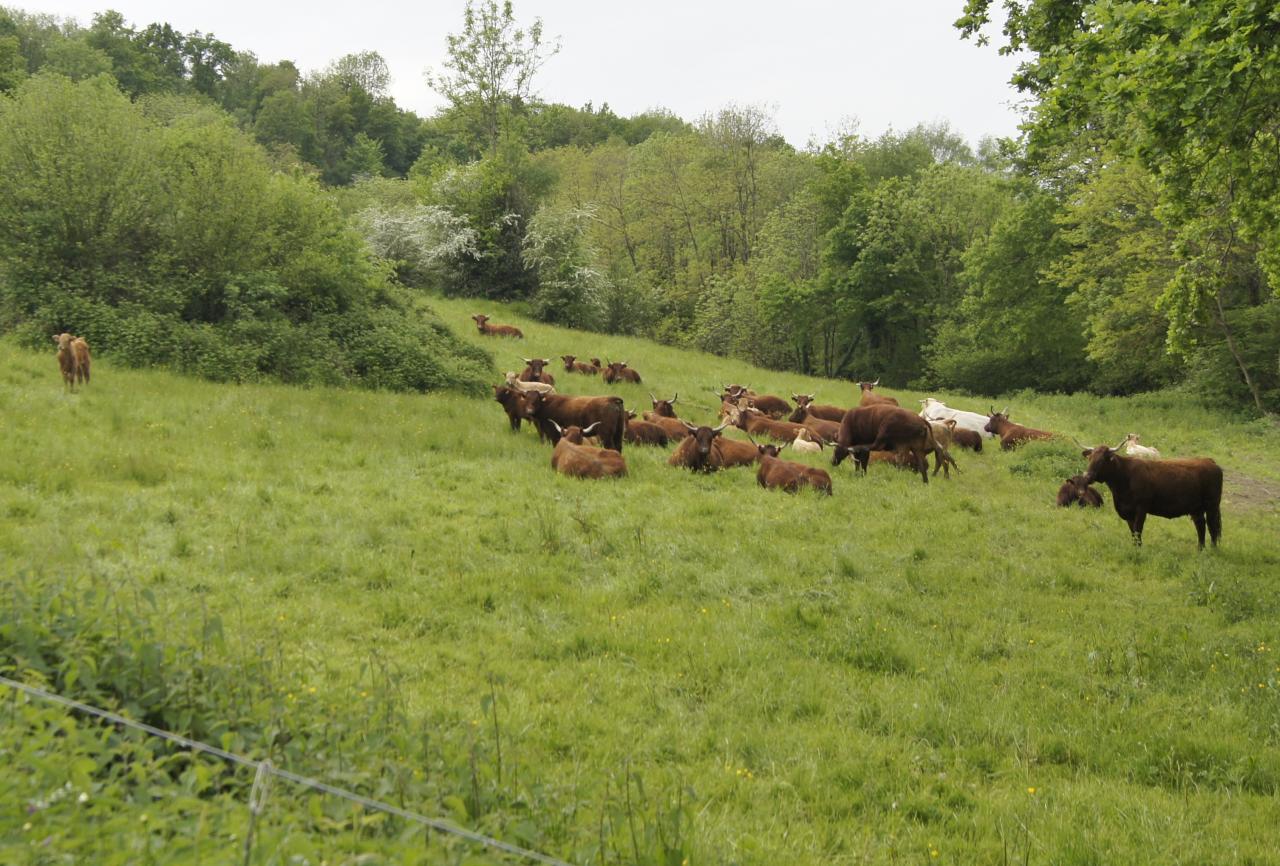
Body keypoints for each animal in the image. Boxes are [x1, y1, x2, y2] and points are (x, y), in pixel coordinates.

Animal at [1085, 445, 1223, 547]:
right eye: (1090, 458)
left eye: (1101, 460)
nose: (1087, 476)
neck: (1125, 475)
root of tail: (1208, 461)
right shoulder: (1128, 511)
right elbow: (1133, 532)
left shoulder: (1141, 509)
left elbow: (1138, 530)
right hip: (1196, 508)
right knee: (1201, 526)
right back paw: (1200, 549)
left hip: (1212, 506)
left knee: (1212, 527)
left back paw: (1213, 550)